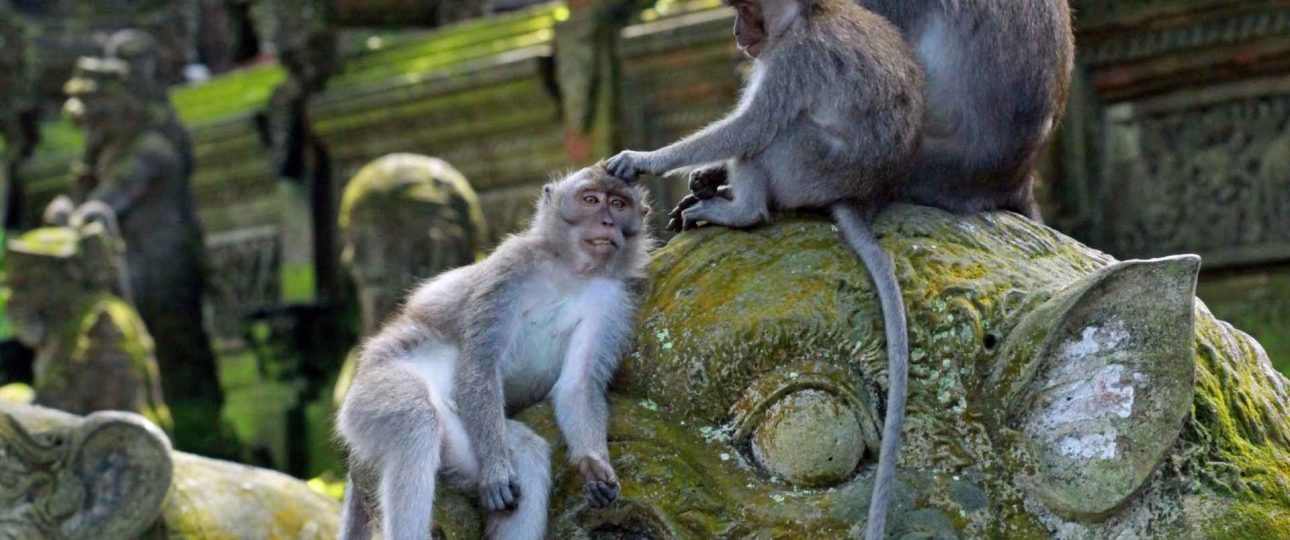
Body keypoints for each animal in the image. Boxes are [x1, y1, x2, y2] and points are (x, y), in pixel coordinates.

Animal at [335, 165, 651, 540]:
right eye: (590, 199)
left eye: (618, 204)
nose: (607, 222)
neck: (569, 272)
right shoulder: (511, 268)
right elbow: (480, 363)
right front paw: (499, 471)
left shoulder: (612, 300)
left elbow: (579, 386)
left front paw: (593, 464)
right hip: (374, 392)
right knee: (415, 420)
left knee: (527, 453)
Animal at [605, 1, 921, 538]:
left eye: (749, 9)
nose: (739, 32)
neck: (804, 17)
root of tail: (860, 196)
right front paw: (705, 175)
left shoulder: (794, 60)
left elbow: (751, 127)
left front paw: (644, 160)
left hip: (807, 167)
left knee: (772, 136)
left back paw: (743, 210)